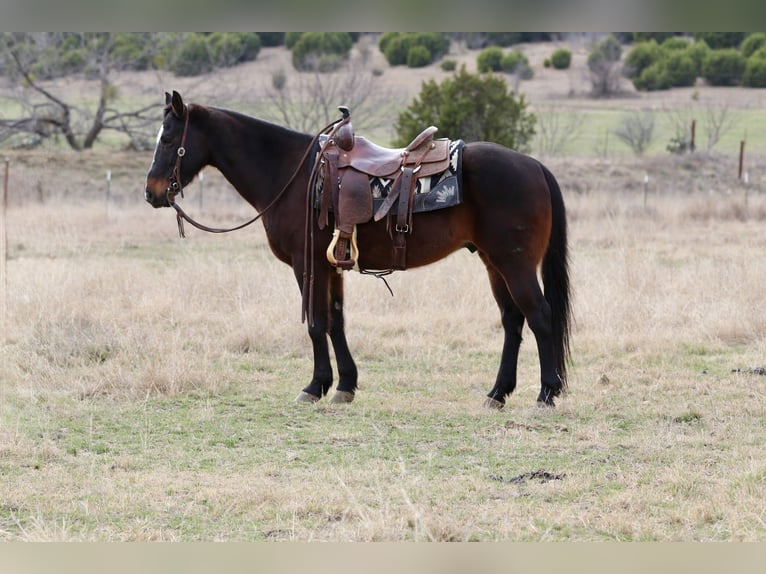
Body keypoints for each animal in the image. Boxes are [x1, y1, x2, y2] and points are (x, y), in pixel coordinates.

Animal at [144, 90, 572, 408]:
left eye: (168, 139)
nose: (151, 192)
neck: (290, 174)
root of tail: (535, 166)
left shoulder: (307, 265)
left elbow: (316, 323)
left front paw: (314, 386)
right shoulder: (332, 266)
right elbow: (336, 321)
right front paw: (345, 386)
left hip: (514, 265)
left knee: (539, 316)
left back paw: (546, 393)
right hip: (493, 263)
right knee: (513, 320)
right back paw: (497, 393)